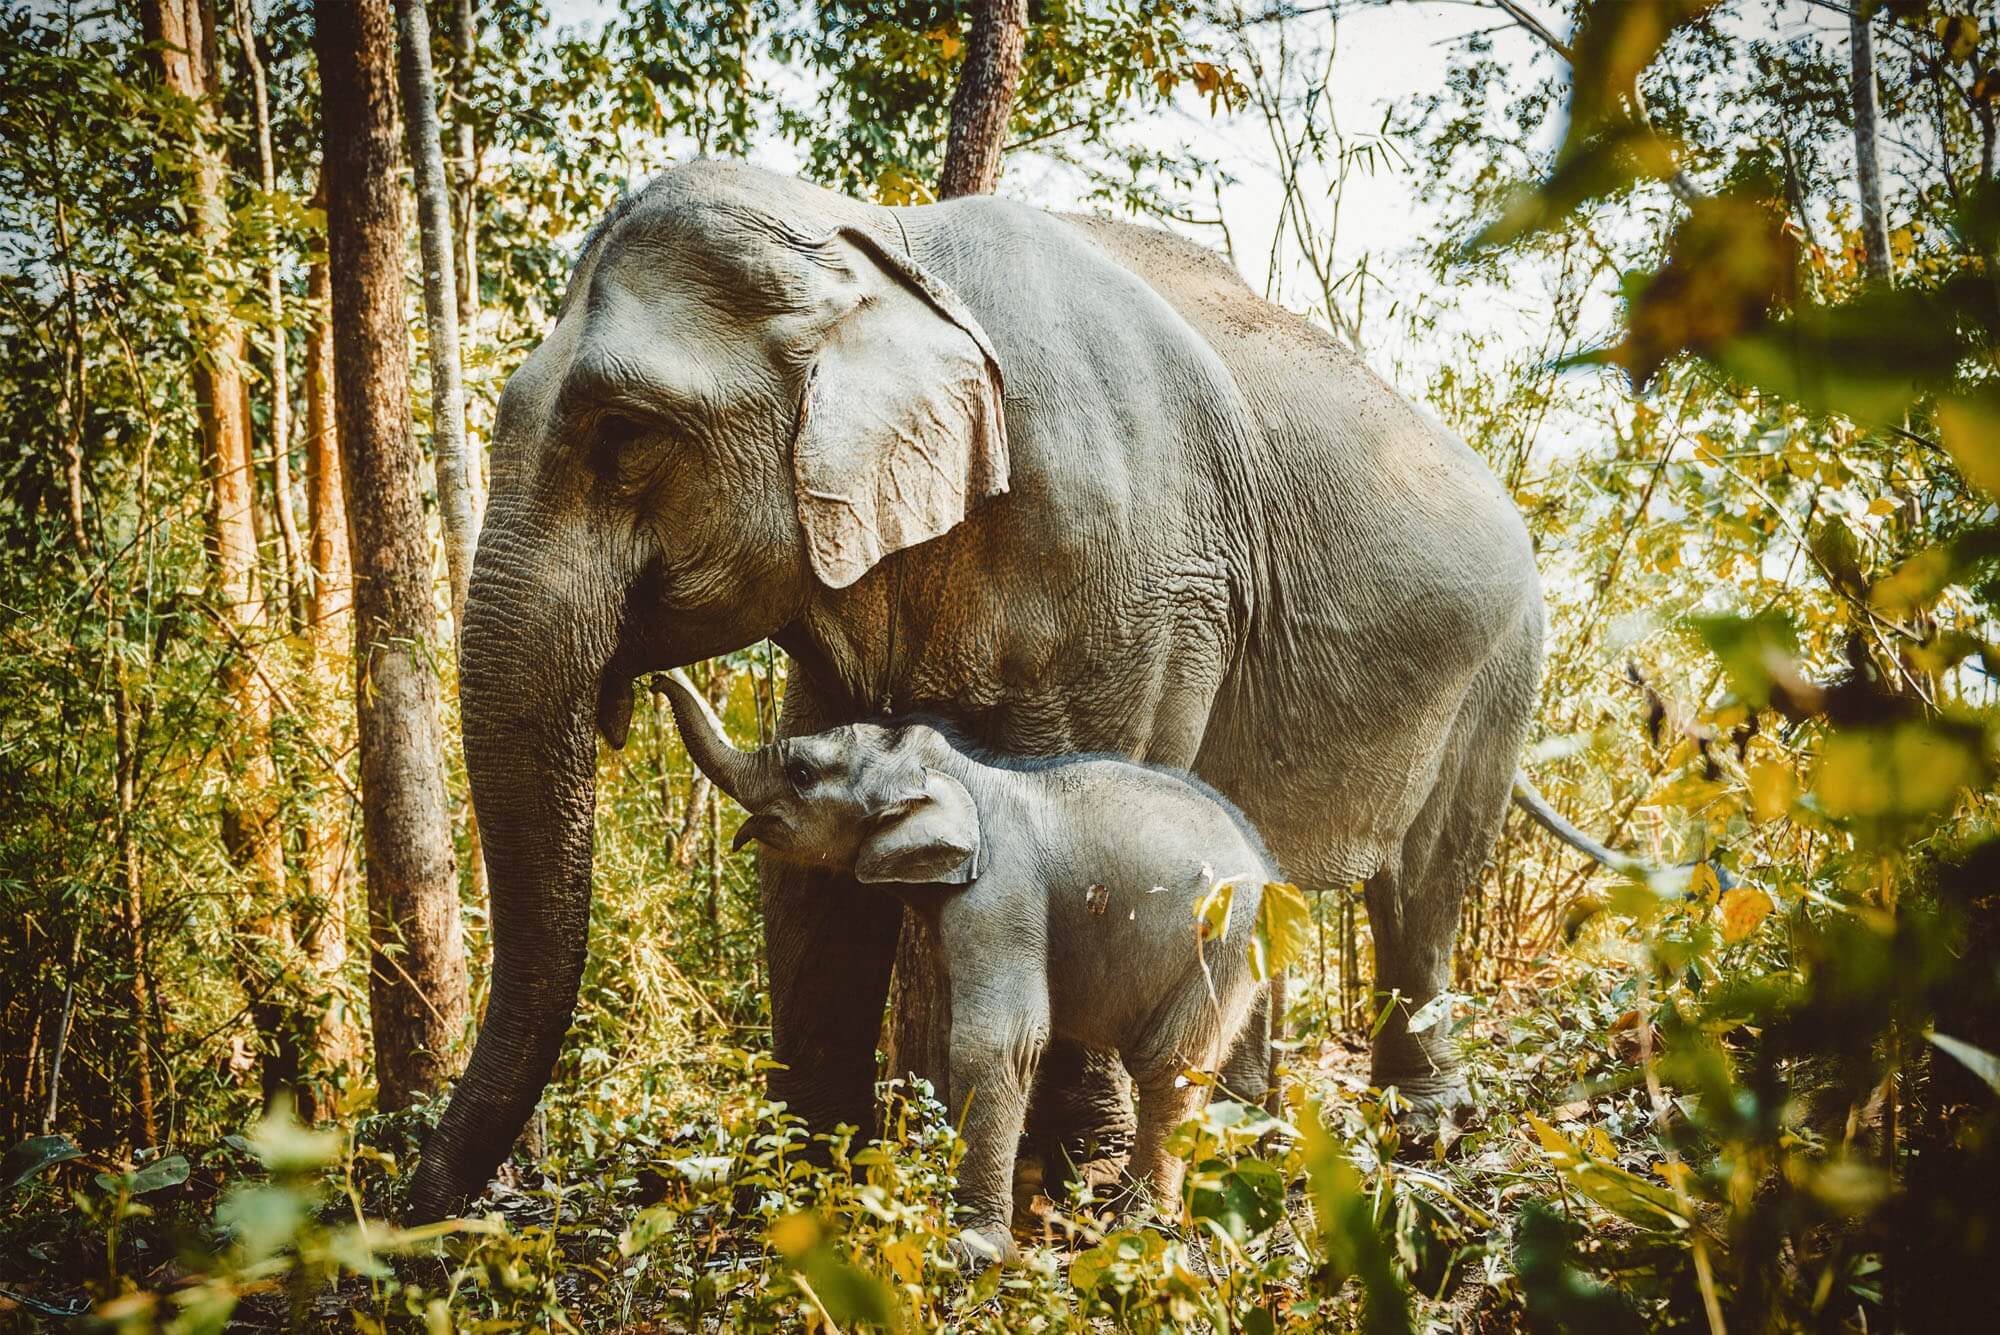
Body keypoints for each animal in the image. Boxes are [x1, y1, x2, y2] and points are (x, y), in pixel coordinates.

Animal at [660, 671, 1280, 1271]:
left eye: (802, 773)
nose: (652, 683)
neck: (962, 772)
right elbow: (943, 1029)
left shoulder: (1002, 891)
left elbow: (999, 1041)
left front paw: (973, 1251)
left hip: (1220, 942)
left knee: (1170, 1067)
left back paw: (1135, 1228)